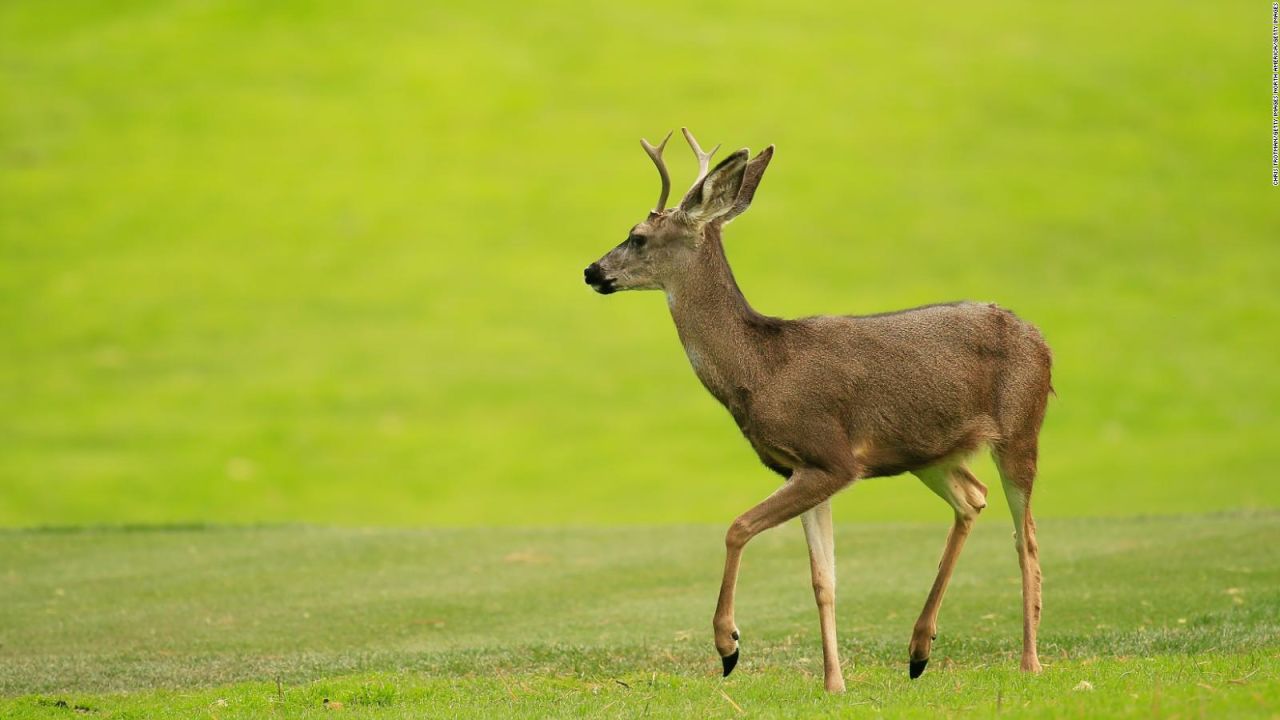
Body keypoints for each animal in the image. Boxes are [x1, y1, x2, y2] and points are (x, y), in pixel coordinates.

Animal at [581, 128, 1049, 691]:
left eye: (638, 236)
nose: (591, 271)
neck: (761, 369)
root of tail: (1042, 339)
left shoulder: (830, 456)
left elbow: (737, 527)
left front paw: (728, 645)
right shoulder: (804, 467)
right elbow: (823, 579)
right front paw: (834, 682)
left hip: (1021, 428)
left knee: (1026, 539)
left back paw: (1030, 662)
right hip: (929, 453)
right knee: (972, 499)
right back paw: (919, 650)